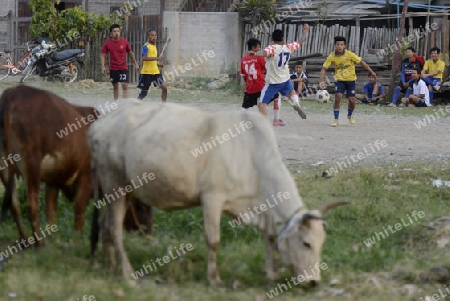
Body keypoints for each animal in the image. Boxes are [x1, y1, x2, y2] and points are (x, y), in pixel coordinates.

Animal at [0, 85, 151, 246]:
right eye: (143, 205)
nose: (149, 235)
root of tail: (12, 95)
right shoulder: (86, 180)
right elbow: (79, 214)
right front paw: (76, 242)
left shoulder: (53, 182)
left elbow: (51, 213)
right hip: (32, 164)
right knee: (31, 205)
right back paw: (39, 244)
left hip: (4, 166)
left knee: (14, 203)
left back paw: (25, 239)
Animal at [88, 100, 348, 284]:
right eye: (306, 243)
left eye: (321, 244)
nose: (314, 282)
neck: (253, 155)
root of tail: (100, 122)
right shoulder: (212, 198)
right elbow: (213, 241)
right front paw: (214, 279)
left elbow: (269, 238)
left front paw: (271, 274)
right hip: (114, 183)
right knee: (114, 228)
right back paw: (127, 273)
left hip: (116, 190)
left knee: (104, 224)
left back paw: (108, 265)